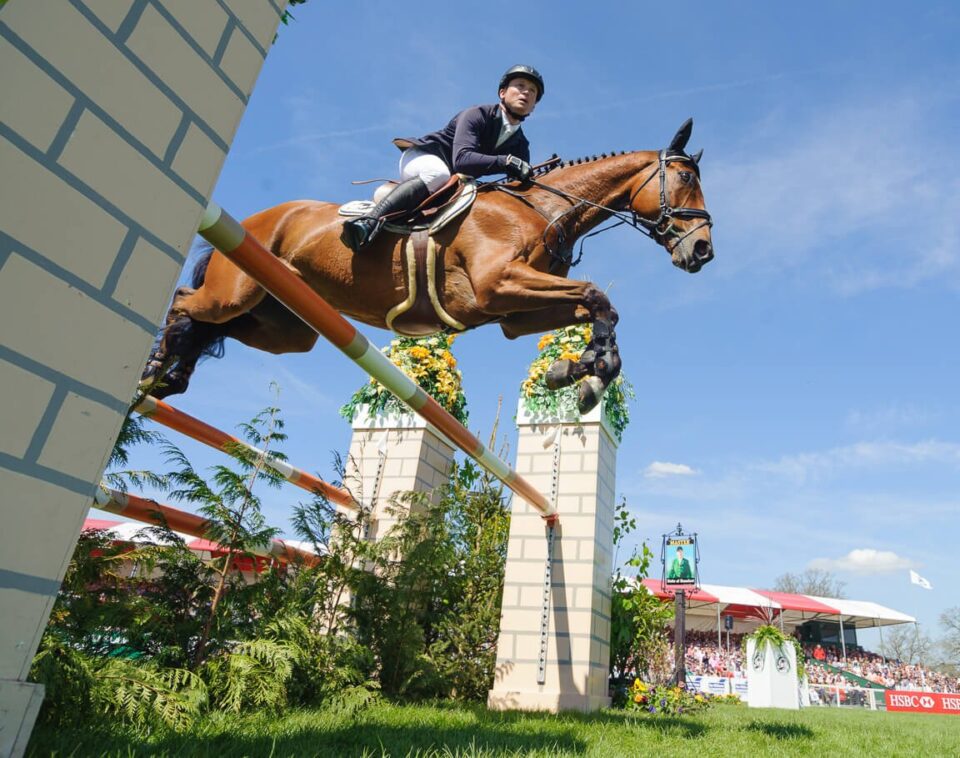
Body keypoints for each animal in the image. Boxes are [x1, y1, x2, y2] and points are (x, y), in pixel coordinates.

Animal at [143, 119, 714, 414]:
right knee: (185, 304)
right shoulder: (498, 286)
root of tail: (259, 218)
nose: (703, 251)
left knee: (208, 327)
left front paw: (581, 372)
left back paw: (172, 379)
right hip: (235, 290)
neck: (541, 208)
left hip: (282, 326)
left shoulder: (514, 315)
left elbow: (600, 309)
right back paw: (153, 369)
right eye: (686, 178)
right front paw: (589, 373)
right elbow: (598, 296)